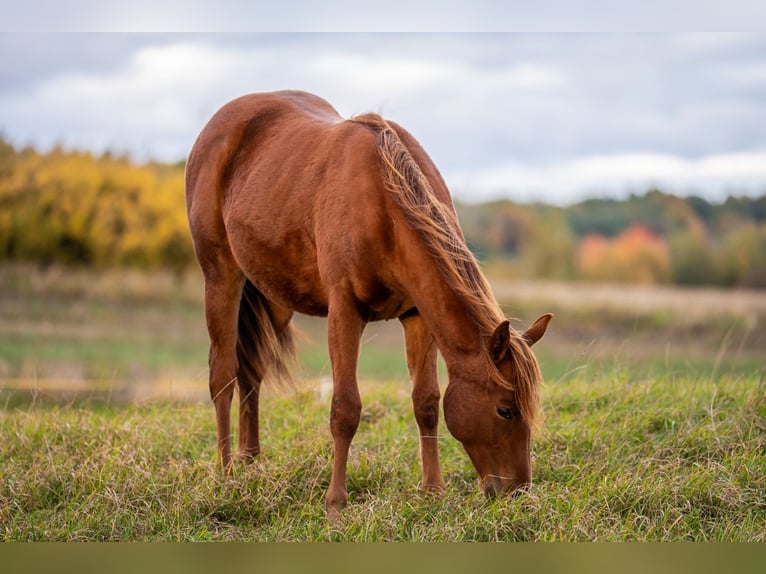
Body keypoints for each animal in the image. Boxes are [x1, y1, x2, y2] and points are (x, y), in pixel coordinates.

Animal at [185, 90, 552, 516]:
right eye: (505, 410)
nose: (518, 492)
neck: (386, 203)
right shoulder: (344, 311)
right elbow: (345, 409)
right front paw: (335, 503)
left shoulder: (417, 316)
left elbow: (426, 403)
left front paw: (433, 490)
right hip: (221, 276)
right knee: (223, 375)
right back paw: (227, 472)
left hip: (273, 296)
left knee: (251, 371)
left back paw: (250, 460)